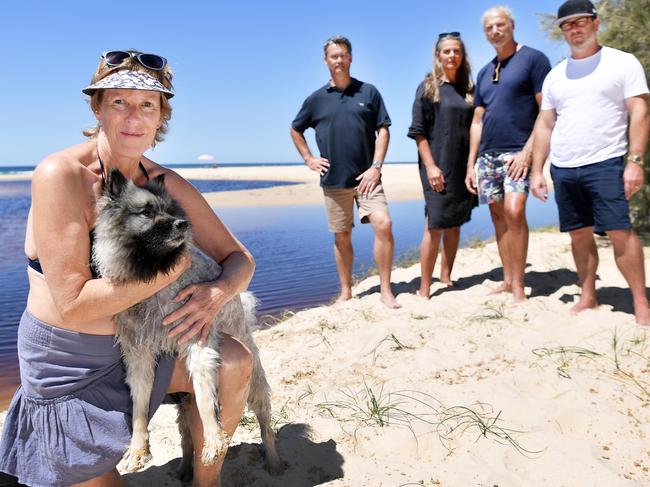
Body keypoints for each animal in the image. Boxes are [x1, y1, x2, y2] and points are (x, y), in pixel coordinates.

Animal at [92, 171, 280, 476]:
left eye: (172, 211)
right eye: (147, 212)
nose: (183, 223)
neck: (153, 279)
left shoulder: (198, 343)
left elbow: (206, 398)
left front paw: (214, 438)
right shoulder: (139, 357)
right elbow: (140, 407)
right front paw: (137, 448)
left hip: (255, 384)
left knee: (266, 424)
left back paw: (274, 461)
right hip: (182, 403)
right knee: (186, 437)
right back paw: (184, 469)